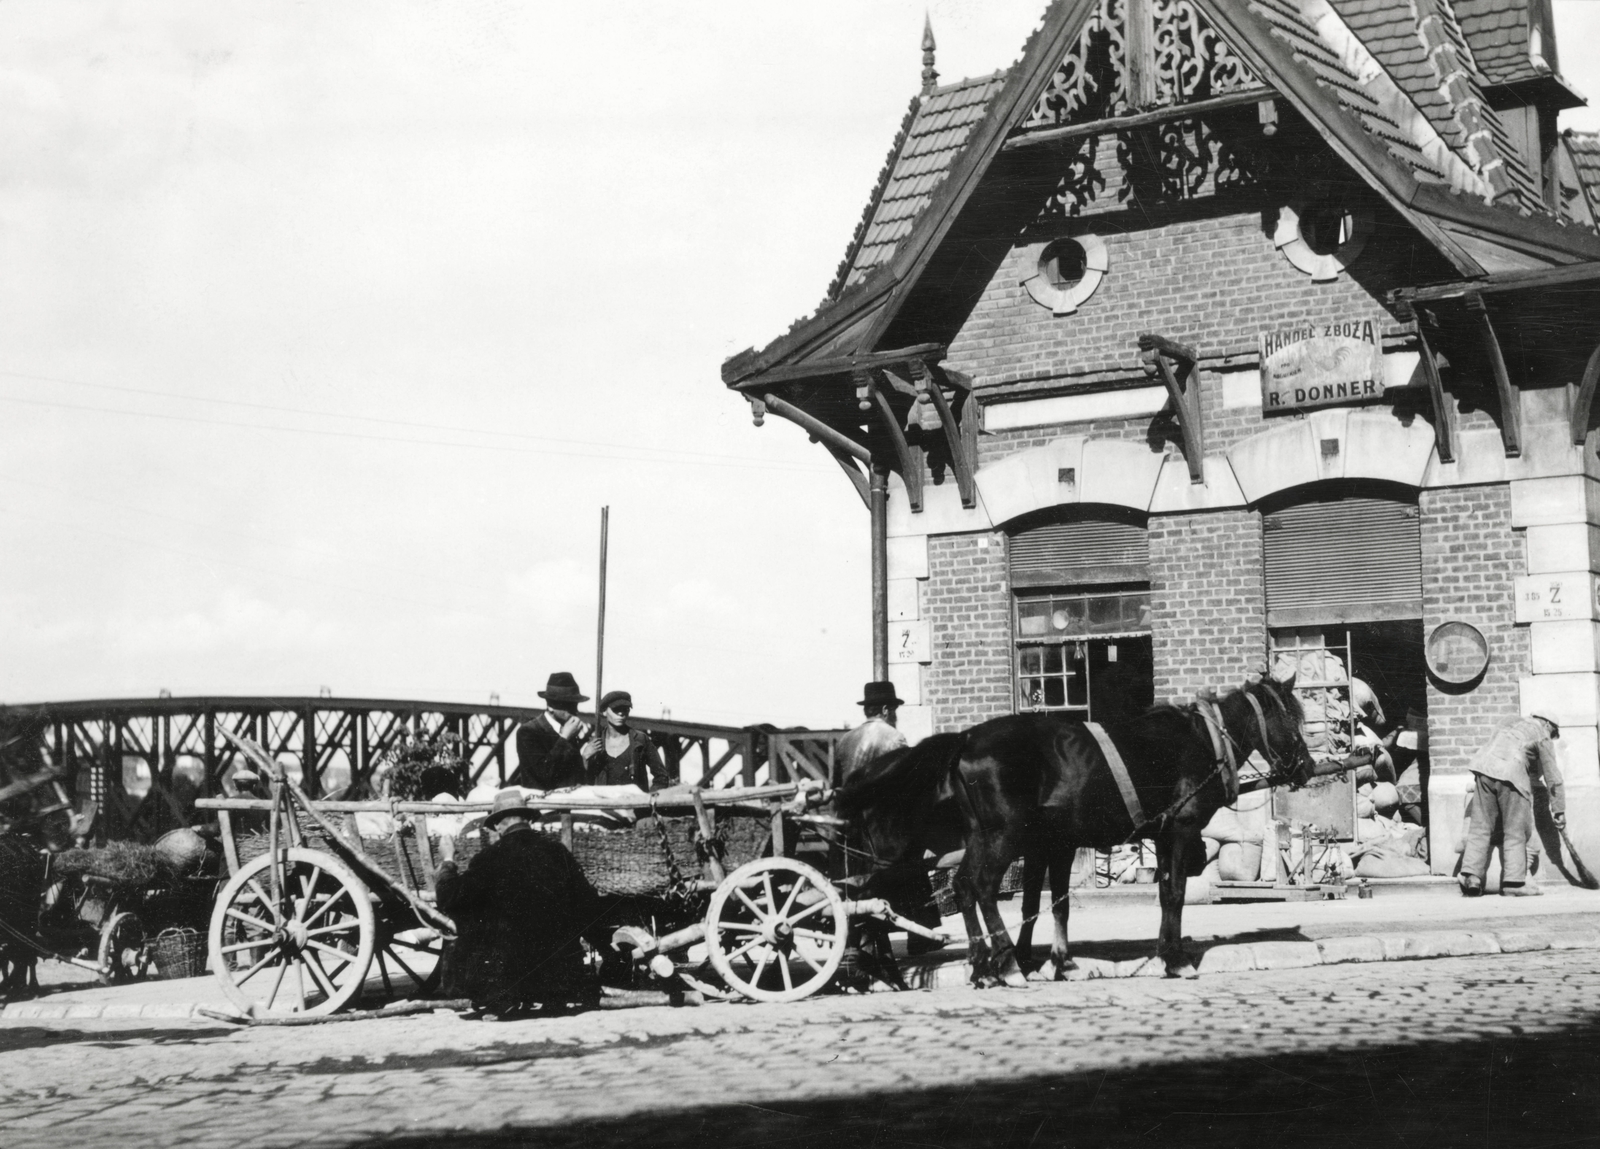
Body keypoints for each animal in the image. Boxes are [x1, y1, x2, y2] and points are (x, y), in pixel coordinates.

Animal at [838, 675, 1312, 992]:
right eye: (1293, 717)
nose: (1306, 766)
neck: (1203, 741)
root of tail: (967, 739)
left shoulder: (1134, 838)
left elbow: (1065, 903)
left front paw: (1068, 961)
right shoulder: (1179, 830)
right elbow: (1175, 894)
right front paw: (1176, 960)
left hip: (983, 837)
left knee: (963, 886)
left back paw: (981, 964)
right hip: (1002, 838)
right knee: (982, 887)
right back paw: (1003, 965)